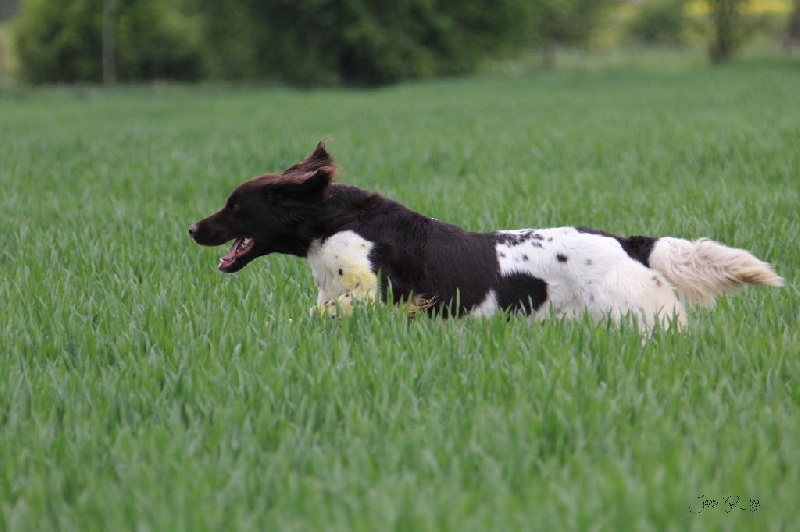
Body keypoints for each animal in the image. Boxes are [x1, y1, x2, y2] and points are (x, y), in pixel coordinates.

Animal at [191, 141, 784, 328]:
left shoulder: (372, 294)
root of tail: (626, 242)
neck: (334, 221)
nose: (193, 227)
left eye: (236, 205)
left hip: (638, 318)